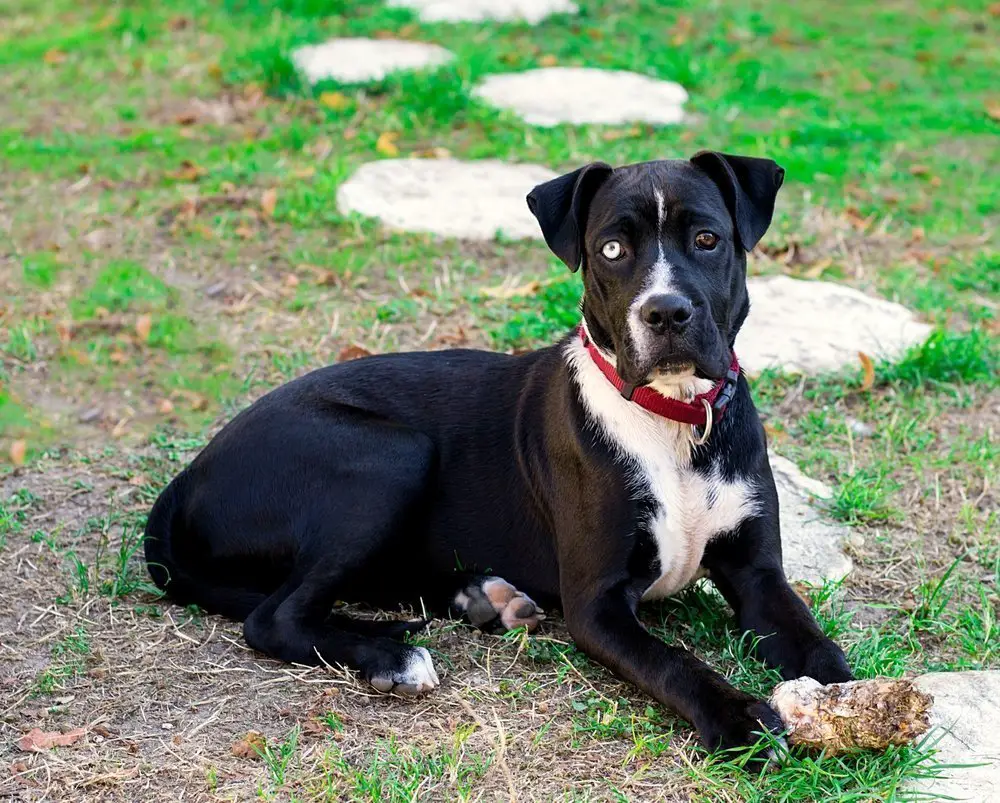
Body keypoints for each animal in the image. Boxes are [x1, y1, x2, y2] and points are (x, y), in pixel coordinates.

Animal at [146, 151, 852, 752]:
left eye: (707, 240)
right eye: (612, 250)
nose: (666, 313)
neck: (674, 420)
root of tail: (187, 477)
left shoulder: (758, 576)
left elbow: (820, 647)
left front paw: (847, 704)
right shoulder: (597, 604)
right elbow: (674, 662)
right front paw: (737, 719)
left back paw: (481, 597)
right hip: (388, 455)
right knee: (275, 616)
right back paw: (395, 656)